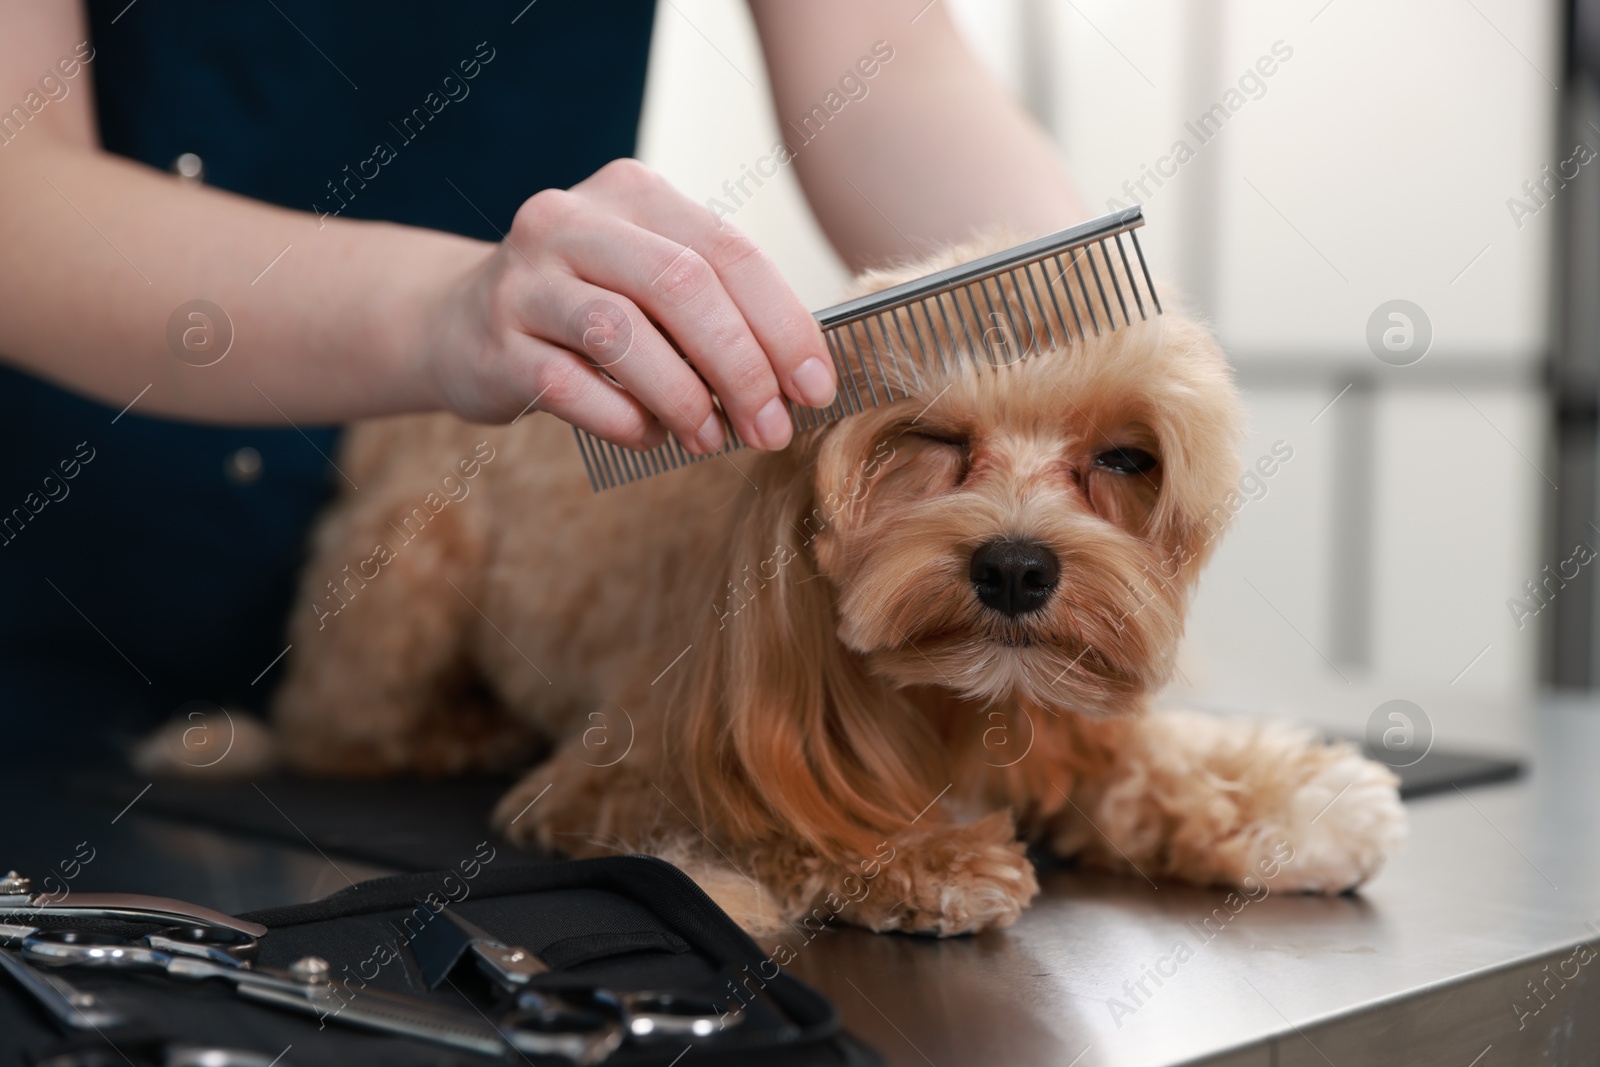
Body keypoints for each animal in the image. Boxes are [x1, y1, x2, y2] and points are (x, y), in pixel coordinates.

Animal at [256, 239, 1408, 934]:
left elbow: (1141, 764)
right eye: (932, 438)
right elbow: (777, 815)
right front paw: (927, 855)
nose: (1016, 564)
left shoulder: (1058, 710)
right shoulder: (622, 771)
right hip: (407, 590)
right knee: (330, 725)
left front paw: (1286, 800)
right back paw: (448, 729)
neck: (946, 703)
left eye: (1126, 458)